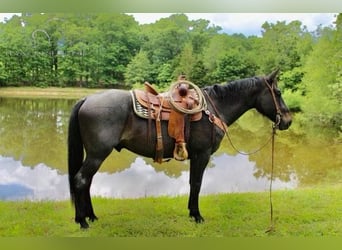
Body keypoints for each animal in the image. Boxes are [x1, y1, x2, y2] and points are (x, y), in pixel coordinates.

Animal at [68, 70, 292, 229]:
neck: (214, 108)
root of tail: (87, 99)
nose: (288, 120)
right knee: (80, 180)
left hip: (95, 155)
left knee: (86, 181)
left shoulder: (197, 156)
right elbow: (197, 183)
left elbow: (193, 183)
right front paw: (197, 215)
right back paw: (82, 220)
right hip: (97, 154)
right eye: (278, 92)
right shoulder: (202, 155)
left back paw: (91, 216)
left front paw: (192, 213)